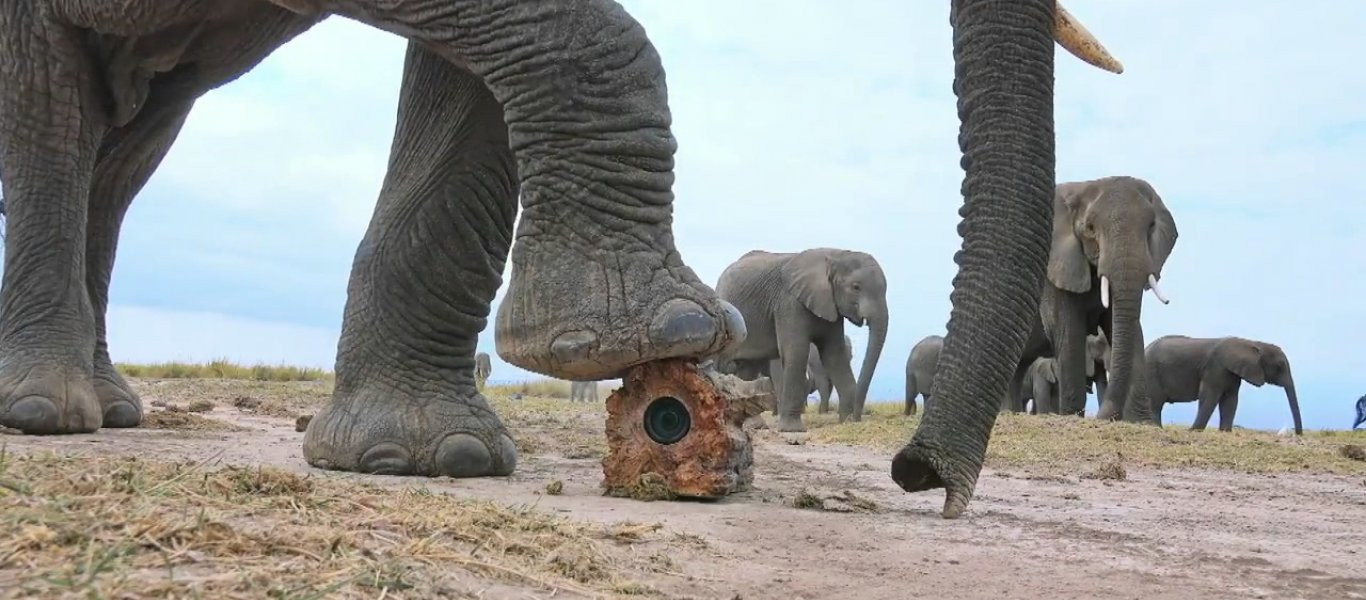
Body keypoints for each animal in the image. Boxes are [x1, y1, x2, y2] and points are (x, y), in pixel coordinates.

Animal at [0, 0, 754, 483]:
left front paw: (430, 460)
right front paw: (672, 329)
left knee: (120, 160)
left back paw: (107, 408)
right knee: (52, 114)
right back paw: (43, 411)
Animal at [710, 248, 890, 431]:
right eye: (856, 287)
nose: (857, 418)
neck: (836, 254)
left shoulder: (830, 306)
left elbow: (834, 355)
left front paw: (846, 421)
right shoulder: (788, 303)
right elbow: (797, 352)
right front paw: (791, 429)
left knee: (749, 368)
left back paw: (754, 425)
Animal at [1141, 336, 1300, 434]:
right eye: (1279, 366)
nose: (1298, 434)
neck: (1252, 343)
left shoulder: (1233, 373)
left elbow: (1230, 399)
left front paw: (1225, 432)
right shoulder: (1216, 368)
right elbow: (1209, 397)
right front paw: (1194, 431)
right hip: (1151, 372)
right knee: (1155, 403)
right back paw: (1156, 428)